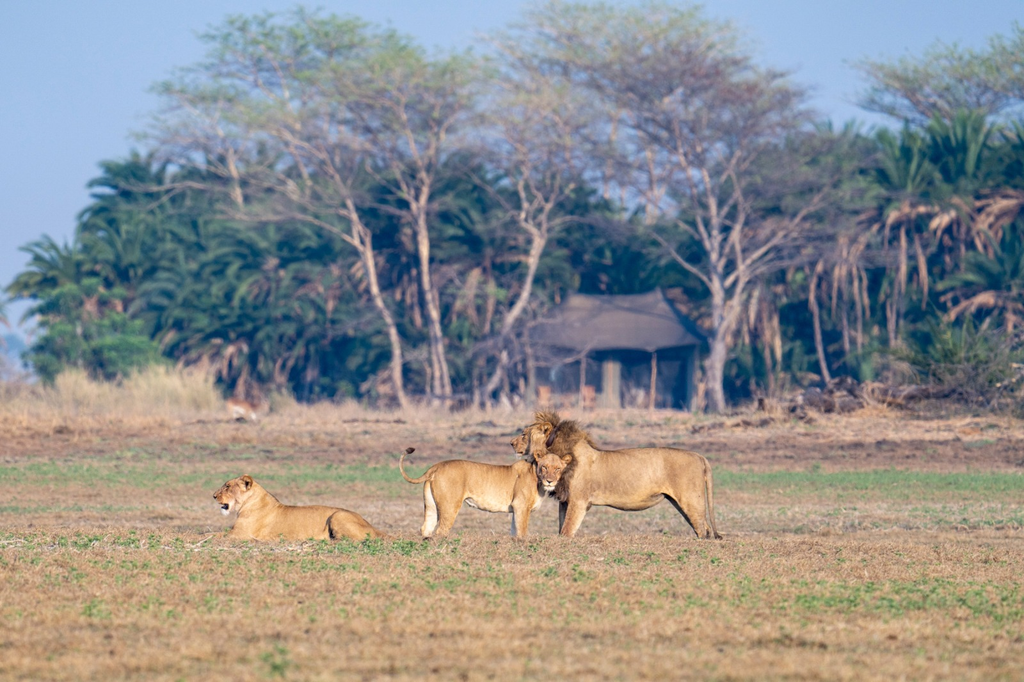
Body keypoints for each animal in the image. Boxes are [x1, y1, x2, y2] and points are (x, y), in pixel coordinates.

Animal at [213, 475, 386, 542]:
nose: (213, 495)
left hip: (337, 515)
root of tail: (373, 526)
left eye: (227, 486)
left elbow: (214, 534)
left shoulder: (240, 534)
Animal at [399, 447, 547, 539]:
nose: (550, 480)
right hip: (450, 506)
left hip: (431, 504)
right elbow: (522, 531)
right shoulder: (521, 506)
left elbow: (514, 529)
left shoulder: (517, 509)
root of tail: (436, 466)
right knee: (442, 530)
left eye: (553, 467)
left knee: (426, 528)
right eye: (545, 467)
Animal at [527, 412, 721, 539]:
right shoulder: (565, 501)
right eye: (544, 467)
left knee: (703, 528)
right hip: (681, 502)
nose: (515, 444)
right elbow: (562, 526)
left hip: (690, 499)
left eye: (524, 435)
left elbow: (567, 528)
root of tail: (700, 456)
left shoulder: (579, 501)